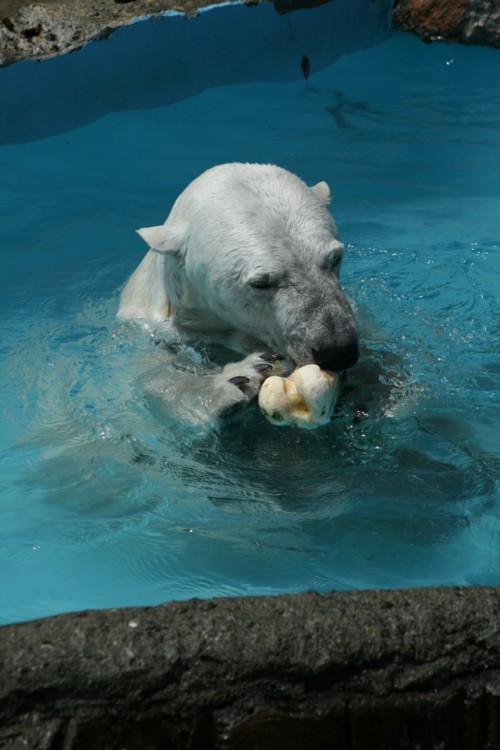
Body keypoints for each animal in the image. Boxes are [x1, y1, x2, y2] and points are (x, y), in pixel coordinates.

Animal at [118, 164, 360, 428]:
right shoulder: (147, 332)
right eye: (261, 283)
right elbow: (155, 377)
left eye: (335, 258)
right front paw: (242, 376)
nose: (337, 349)